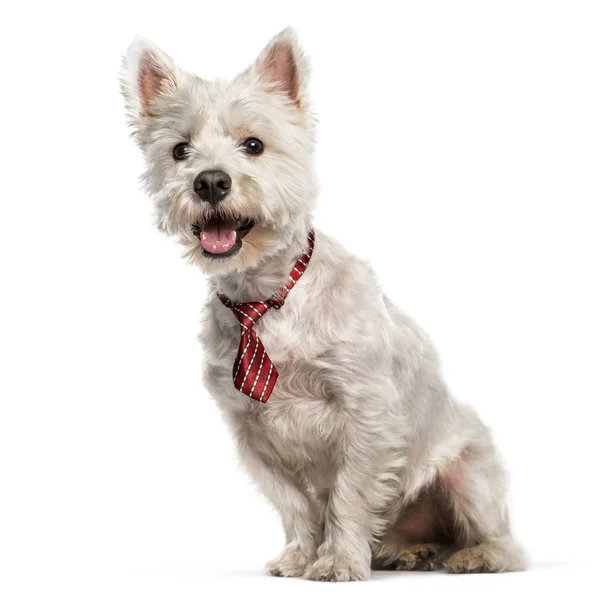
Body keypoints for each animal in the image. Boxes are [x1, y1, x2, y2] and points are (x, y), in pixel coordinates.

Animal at [120, 28, 528, 580]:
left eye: (254, 145)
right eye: (180, 150)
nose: (210, 181)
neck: (268, 299)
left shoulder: (366, 413)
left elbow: (348, 497)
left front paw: (336, 561)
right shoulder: (252, 431)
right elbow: (293, 501)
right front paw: (299, 555)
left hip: (469, 473)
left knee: (502, 537)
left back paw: (477, 555)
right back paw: (408, 549)